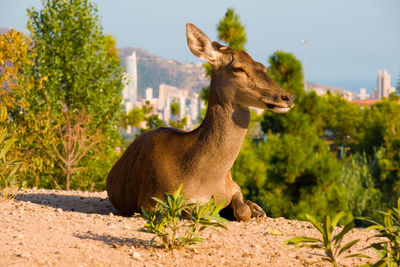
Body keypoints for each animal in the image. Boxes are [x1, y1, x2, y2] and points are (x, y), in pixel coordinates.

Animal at [106, 23, 294, 222]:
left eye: (262, 67)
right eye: (239, 69)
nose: (288, 97)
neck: (205, 182)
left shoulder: (232, 185)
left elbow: (242, 209)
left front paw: (252, 209)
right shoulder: (151, 200)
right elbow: (192, 210)